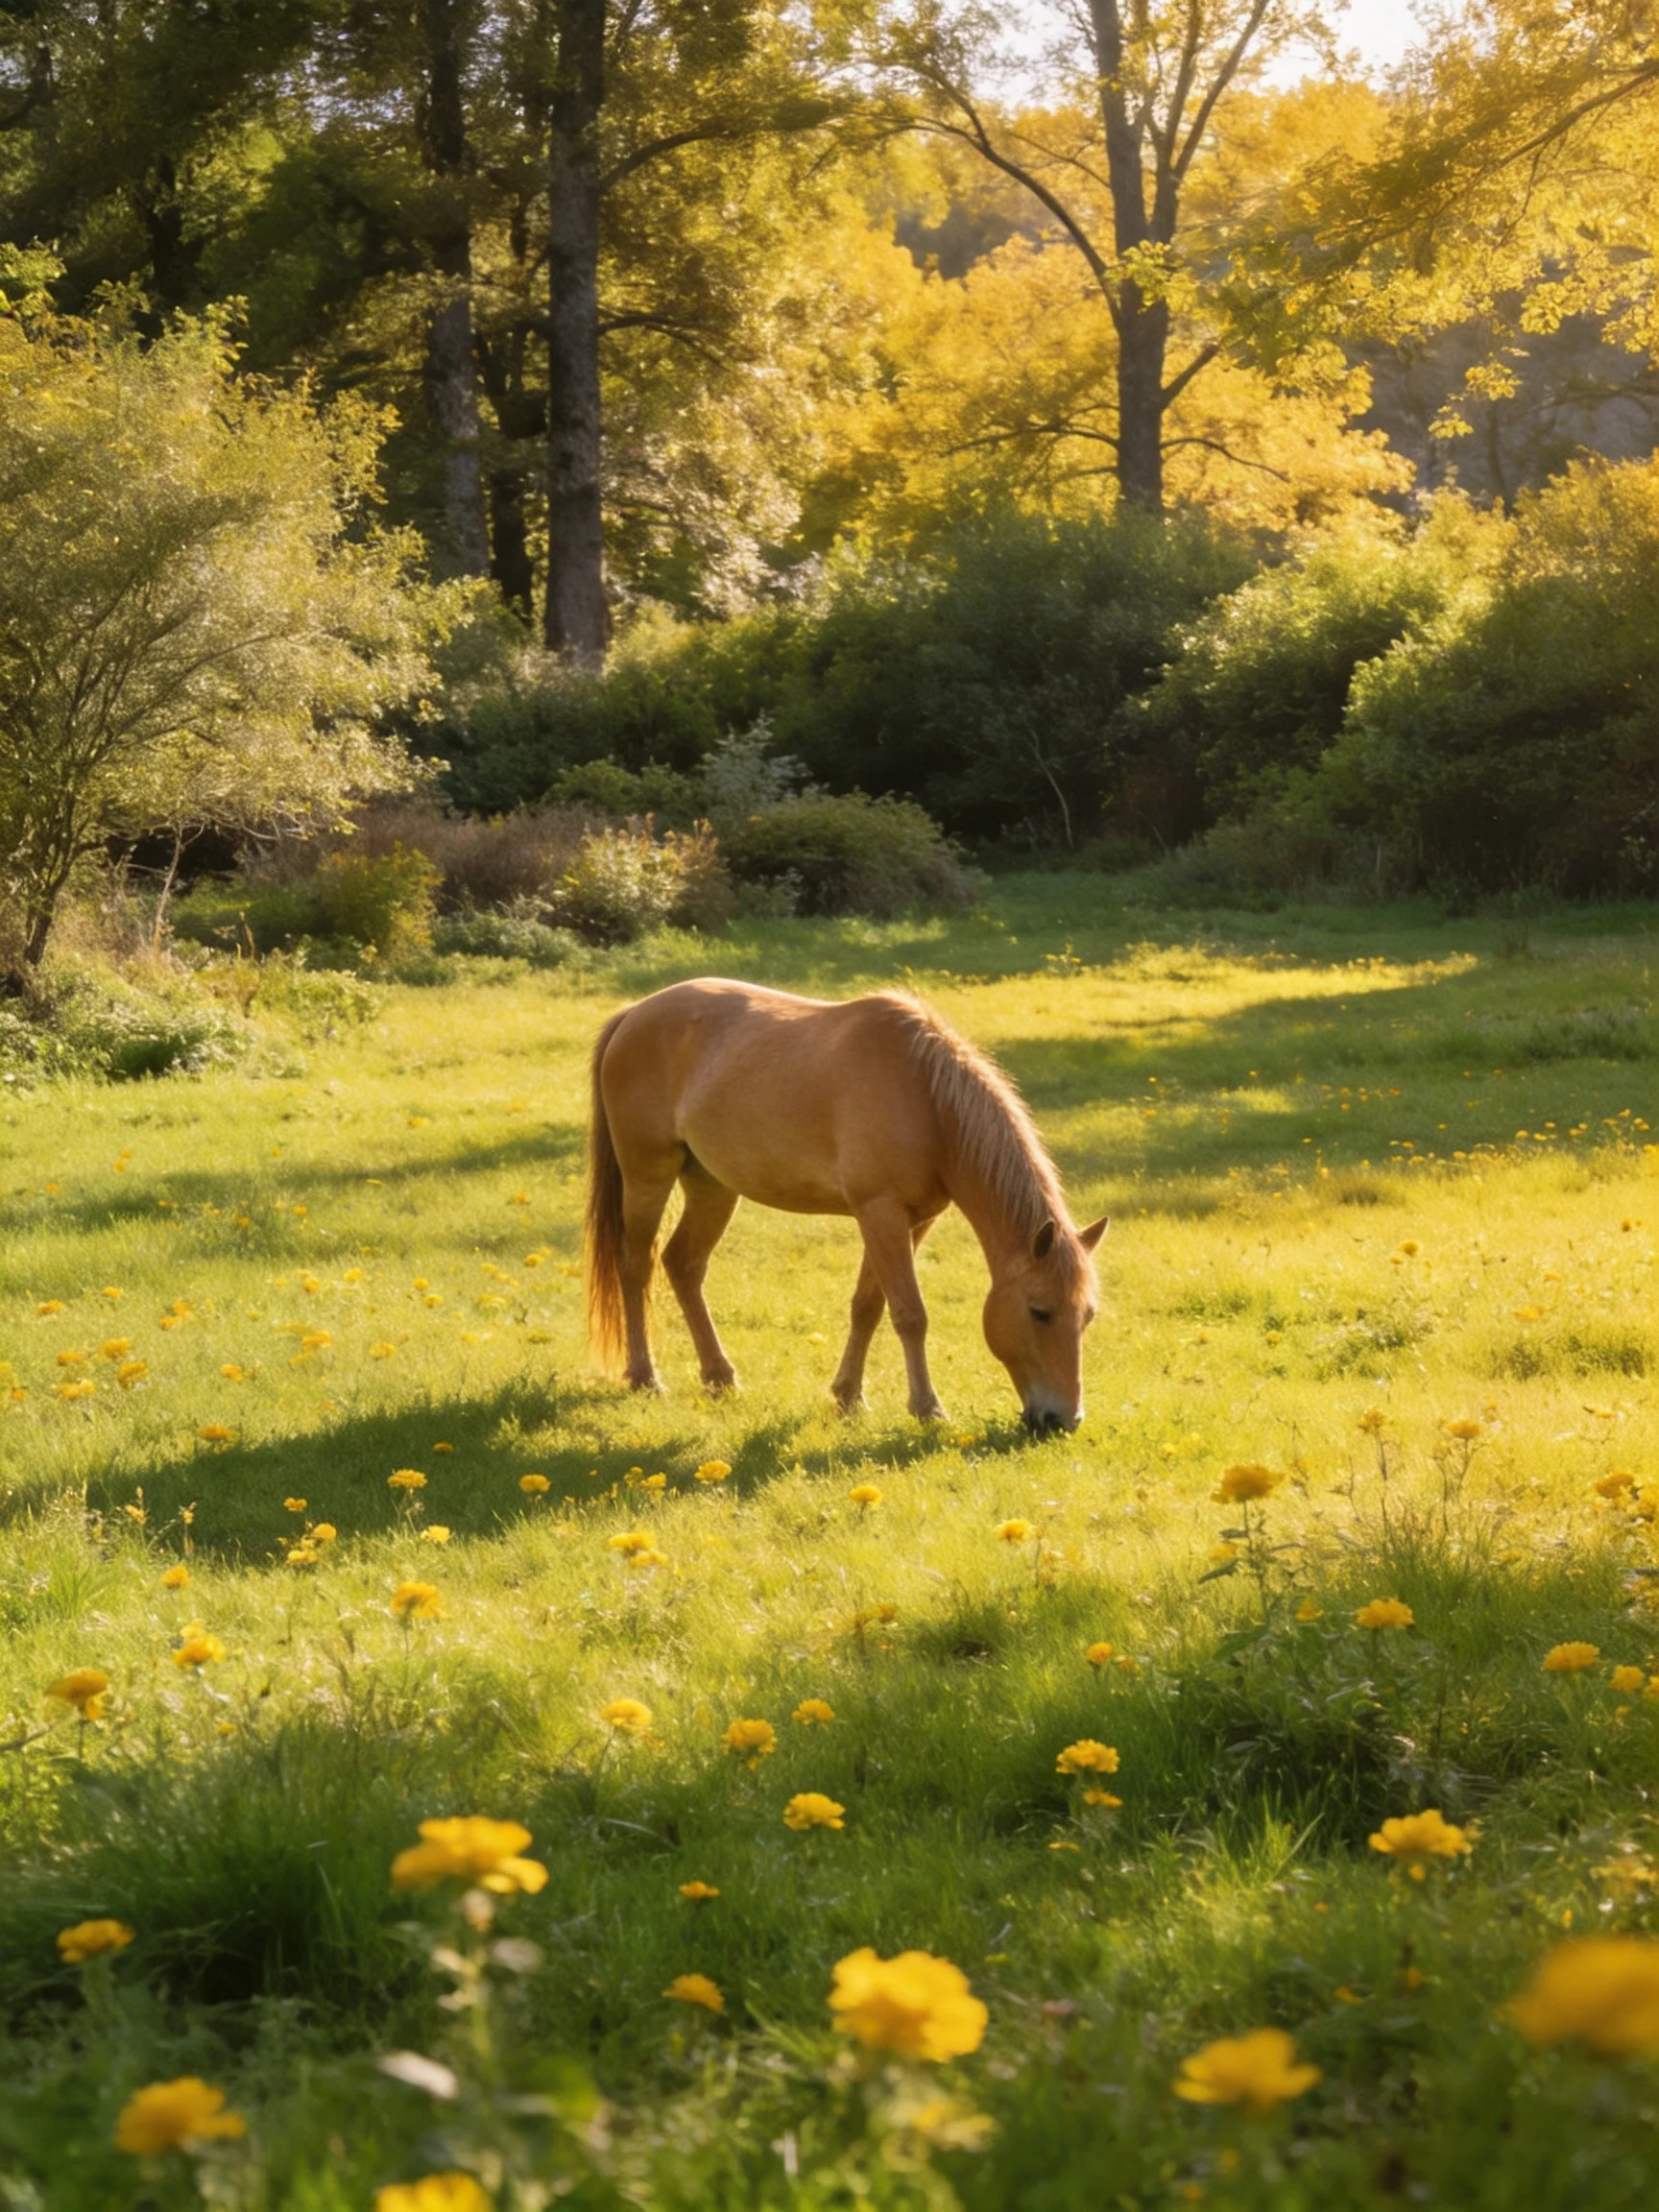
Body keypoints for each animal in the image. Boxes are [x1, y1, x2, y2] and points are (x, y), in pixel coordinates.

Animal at [585, 978, 1107, 1432]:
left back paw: (719, 1377)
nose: (1063, 1420)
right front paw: (927, 1408)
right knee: (636, 1265)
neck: (925, 1097)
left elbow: (868, 1306)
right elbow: (909, 1314)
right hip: (648, 1175)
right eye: (1040, 1311)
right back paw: (645, 1377)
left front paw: (849, 1398)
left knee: (684, 1265)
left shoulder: (911, 1221)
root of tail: (634, 1014)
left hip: (712, 1186)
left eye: (1087, 1315)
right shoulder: (880, 1213)